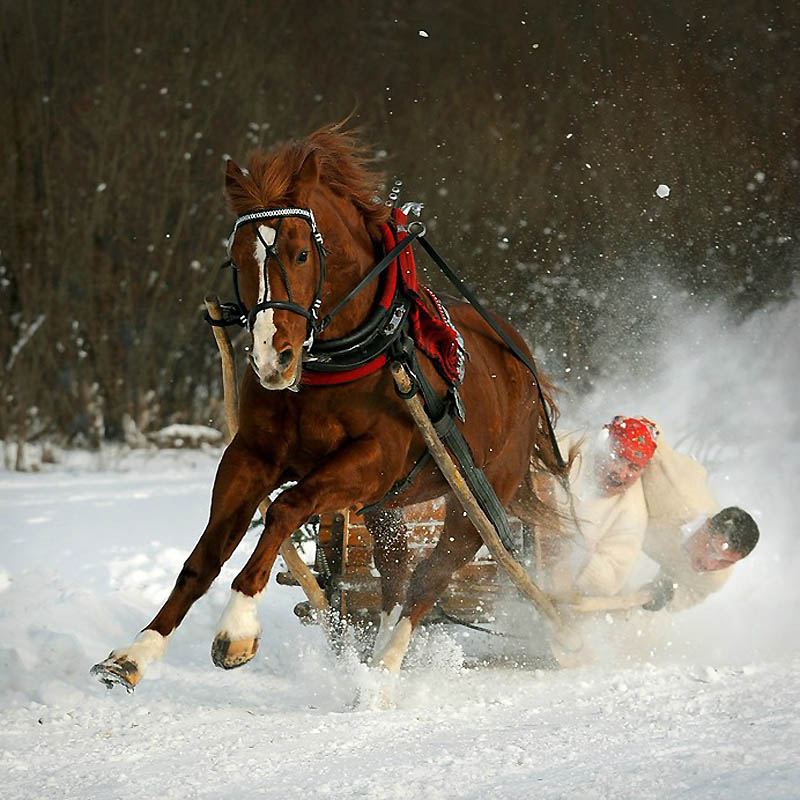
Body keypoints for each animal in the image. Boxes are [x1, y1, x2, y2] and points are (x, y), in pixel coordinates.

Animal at [92, 122, 564, 692]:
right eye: (236, 258)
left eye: (300, 255)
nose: (272, 358)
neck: (332, 361)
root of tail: (524, 364)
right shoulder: (252, 455)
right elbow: (205, 555)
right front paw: (136, 653)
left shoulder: (372, 459)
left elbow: (285, 507)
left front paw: (238, 627)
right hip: (385, 506)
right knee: (395, 574)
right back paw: (372, 655)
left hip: (476, 499)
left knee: (430, 579)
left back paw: (385, 669)